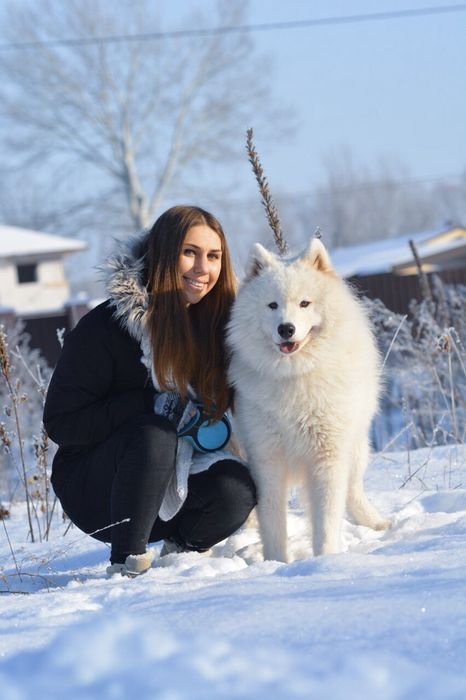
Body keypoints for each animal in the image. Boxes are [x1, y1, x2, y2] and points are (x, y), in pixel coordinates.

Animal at [226, 237, 390, 564]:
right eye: (272, 305)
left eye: (305, 303)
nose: (285, 328)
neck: (294, 375)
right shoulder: (267, 457)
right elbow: (273, 520)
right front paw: (276, 563)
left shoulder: (327, 455)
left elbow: (326, 518)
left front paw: (325, 560)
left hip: (356, 447)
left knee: (353, 490)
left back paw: (376, 522)